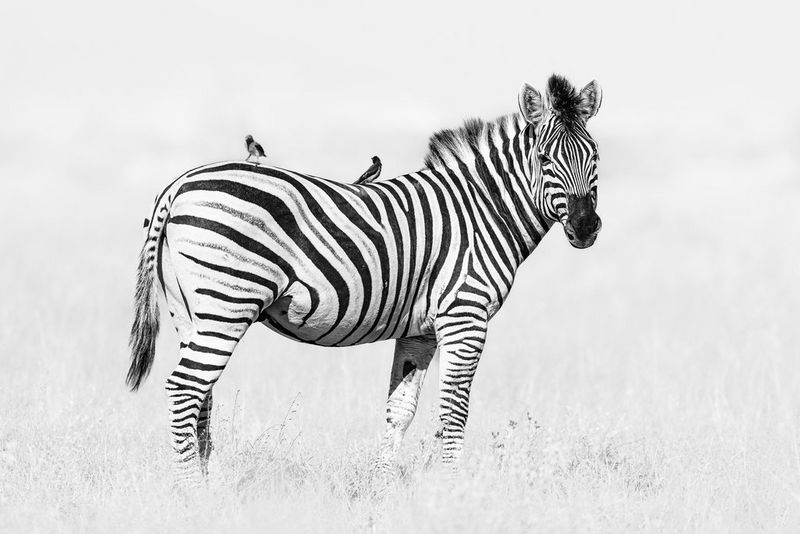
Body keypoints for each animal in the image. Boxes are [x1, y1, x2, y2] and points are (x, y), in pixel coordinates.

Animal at [127, 74, 603, 486]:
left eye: (595, 157)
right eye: (544, 159)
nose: (585, 227)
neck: (482, 210)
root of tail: (179, 184)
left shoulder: (420, 331)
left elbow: (401, 410)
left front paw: (382, 489)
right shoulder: (465, 315)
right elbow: (454, 409)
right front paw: (454, 487)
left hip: (190, 310)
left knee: (201, 394)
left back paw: (209, 485)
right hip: (227, 299)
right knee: (185, 389)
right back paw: (192, 492)